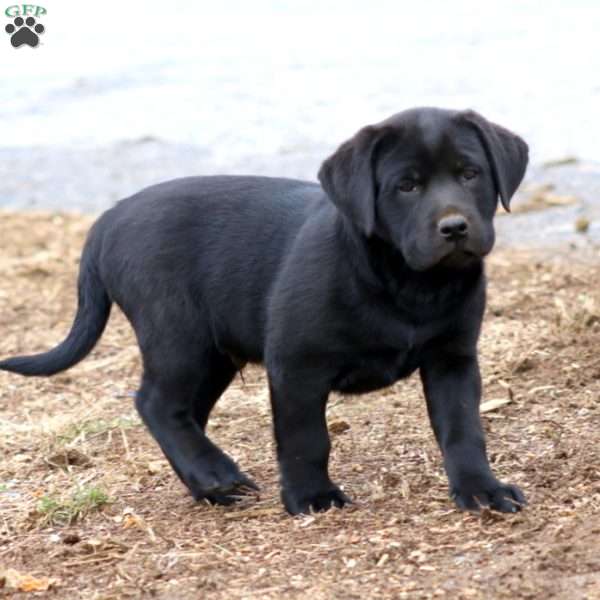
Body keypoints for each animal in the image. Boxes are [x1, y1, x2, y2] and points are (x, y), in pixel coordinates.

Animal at [0, 108, 528, 516]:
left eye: (470, 174)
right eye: (407, 186)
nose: (455, 227)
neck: (410, 283)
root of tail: (107, 219)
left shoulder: (452, 357)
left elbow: (463, 428)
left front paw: (481, 489)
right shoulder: (296, 365)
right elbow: (305, 438)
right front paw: (311, 498)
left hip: (213, 354)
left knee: (182, 411)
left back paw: (208, 483)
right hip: (178, 334)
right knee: (155, 402)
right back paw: (216, 474)